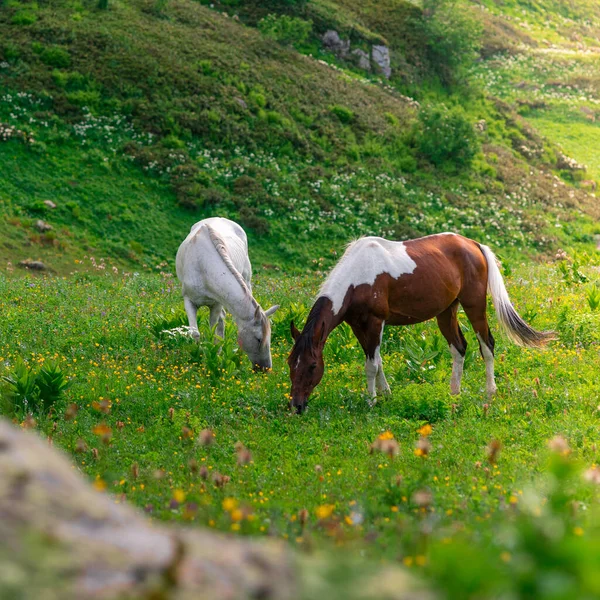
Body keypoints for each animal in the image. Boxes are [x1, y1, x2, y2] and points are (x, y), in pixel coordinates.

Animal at [176, 218, 278, 370]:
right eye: (259, 339)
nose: (265, 368)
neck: (203, 266)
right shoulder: (189, 301)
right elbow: (195, 333)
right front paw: (197, 358)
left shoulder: (217, 303)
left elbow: (213, 331)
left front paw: (214, 356)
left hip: (246, 279)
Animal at [288, 233, 556, 412]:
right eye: (291, 363)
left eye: (312, 365)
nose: (296, 406)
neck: (359, 276)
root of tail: (473, 244)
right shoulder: (358, 326)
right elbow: (378, 361)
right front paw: (386, 394)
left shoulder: (375, 323)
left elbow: (371, 366)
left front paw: (372, 401)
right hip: (446, 312)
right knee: (459, 348)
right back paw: (454, 393)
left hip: (474, 306)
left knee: (487, 345)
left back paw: (490, 391)